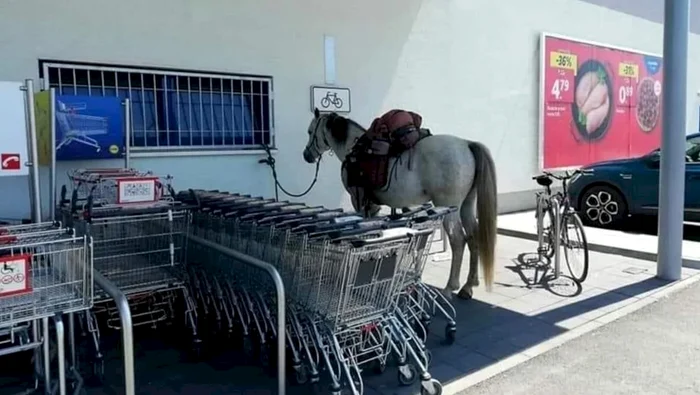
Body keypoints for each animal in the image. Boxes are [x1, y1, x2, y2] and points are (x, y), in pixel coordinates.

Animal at [302, 110, 498, 298]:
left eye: (310, 131)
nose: (306, 155)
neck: (353, 149)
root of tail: (466, 144)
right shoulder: (373, 208)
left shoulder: (359, 201)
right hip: (467, 205)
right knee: (473, 237)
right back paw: (468, 286)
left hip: (450, 208)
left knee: (458, 241)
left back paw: (451, 287)